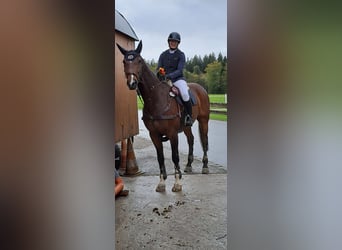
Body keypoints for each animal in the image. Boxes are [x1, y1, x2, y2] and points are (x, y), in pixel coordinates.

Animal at [116, 41, 210, 193]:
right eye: (124, 61)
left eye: (139, 61)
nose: (132, 83)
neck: (156, 99)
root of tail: (201, 88)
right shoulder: (154, 134)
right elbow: (160, 157)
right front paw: (161, 183)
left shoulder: (172, 134)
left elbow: (175, 157)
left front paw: (177, 183)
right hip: (186, 126)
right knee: (191, 139)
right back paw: (189, 165)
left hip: (204, 121)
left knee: (205, 140)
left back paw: (205, 166)